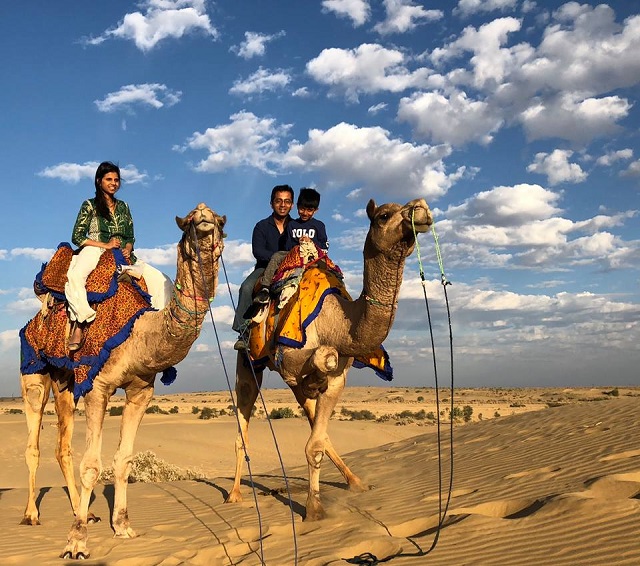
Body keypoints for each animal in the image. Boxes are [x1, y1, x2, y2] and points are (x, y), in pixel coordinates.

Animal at [20, 203, 226, 560]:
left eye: (219, 222)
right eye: (187, 223)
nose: (203, 218)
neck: (138, 332)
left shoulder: (141, 390)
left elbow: (124, 459)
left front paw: (123, 527)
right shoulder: (97, 386)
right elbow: (92, 465)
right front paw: (76, 543)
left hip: (65, 382)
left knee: (63, 447)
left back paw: (84, 511)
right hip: (34, 372)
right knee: (34, 442)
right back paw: (32, 515)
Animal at [228, 197, 432, 520]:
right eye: (384, 215)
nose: (420, 208)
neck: (338, 322)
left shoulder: (336, 379)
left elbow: (318, 440)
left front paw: (319, 502)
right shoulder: (290, 360)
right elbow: (324, 359)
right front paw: (313, 510)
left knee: (315, 423)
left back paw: (356, 481)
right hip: (248, 361)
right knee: (244, 423)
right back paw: (234, 494)